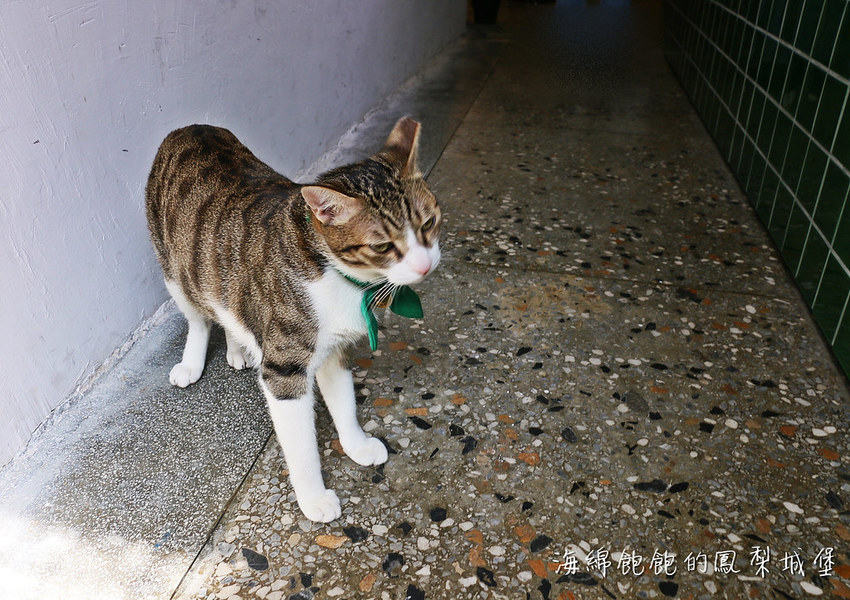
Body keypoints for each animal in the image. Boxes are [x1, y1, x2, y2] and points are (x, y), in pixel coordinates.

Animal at [145, 117, 441, 522]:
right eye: (381, 246)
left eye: (429, 222)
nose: (425, 265)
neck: (337, 273)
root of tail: (191, 127)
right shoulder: (285, 372)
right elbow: (301, 448)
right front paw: (314, 499)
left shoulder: (334, 350)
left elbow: (344, 402)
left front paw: (357, 444)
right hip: (175, 271)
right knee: (199, 318)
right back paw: (192, 362)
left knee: (229, 306)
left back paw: (238, 349)